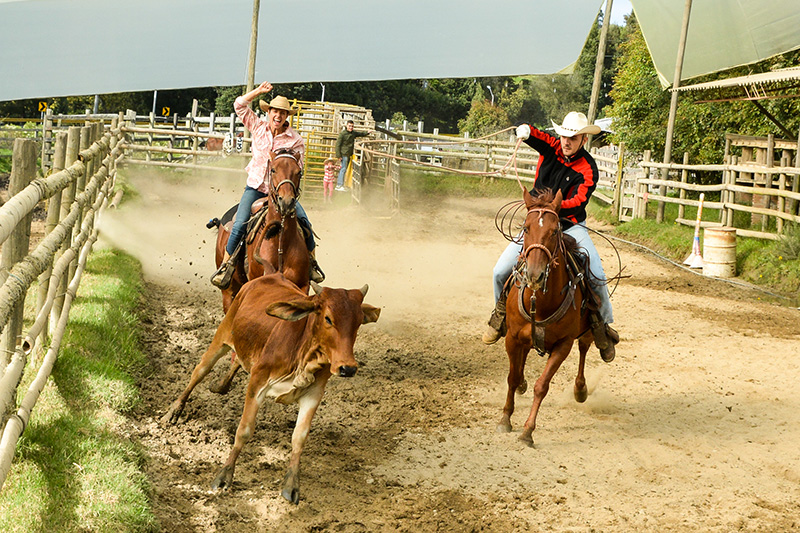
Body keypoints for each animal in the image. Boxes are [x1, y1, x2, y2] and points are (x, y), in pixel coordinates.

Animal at [162, 274, 382, 502]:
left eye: (358, 321)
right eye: (328, 318)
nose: (348, 367)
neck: (304, 353)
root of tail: (271, 275)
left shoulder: (313, 394)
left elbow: (299, 438)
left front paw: (291, 486)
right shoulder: (257, 383)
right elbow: (244, 431)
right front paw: (223, 476)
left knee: (237, 361)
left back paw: (222, 386)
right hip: (222, 336)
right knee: (199, 372)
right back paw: (174, 411)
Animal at [496, 187, 596, 444]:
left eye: (554, 231)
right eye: (526, 228)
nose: (535, 274)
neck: (540, 303)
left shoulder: (563, 345)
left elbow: (542, 386)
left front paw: (527, 431)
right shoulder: (512, 338)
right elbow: (511, 377)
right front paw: (505, 419)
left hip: (588, 331)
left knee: (585, 346)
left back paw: (580, 389)